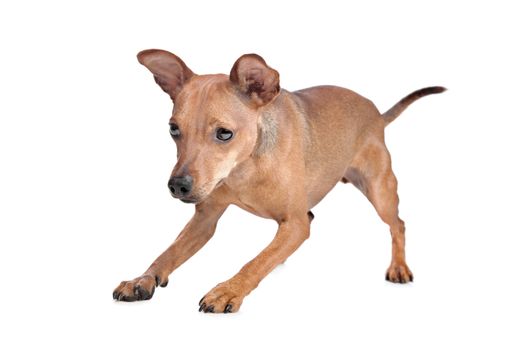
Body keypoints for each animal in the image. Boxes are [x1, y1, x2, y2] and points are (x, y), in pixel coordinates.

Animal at [112, 48, 444, 312]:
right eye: (173, 129)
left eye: (224, 133)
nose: (178, 186)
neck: (244, 169)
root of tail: (376, 112)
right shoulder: (205, 219)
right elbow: (169, 252)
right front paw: (142, 279)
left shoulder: (296, 223)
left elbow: (255, 261)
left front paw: (228, 290)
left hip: (379, 190)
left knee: (398, 224)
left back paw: (399, 267)